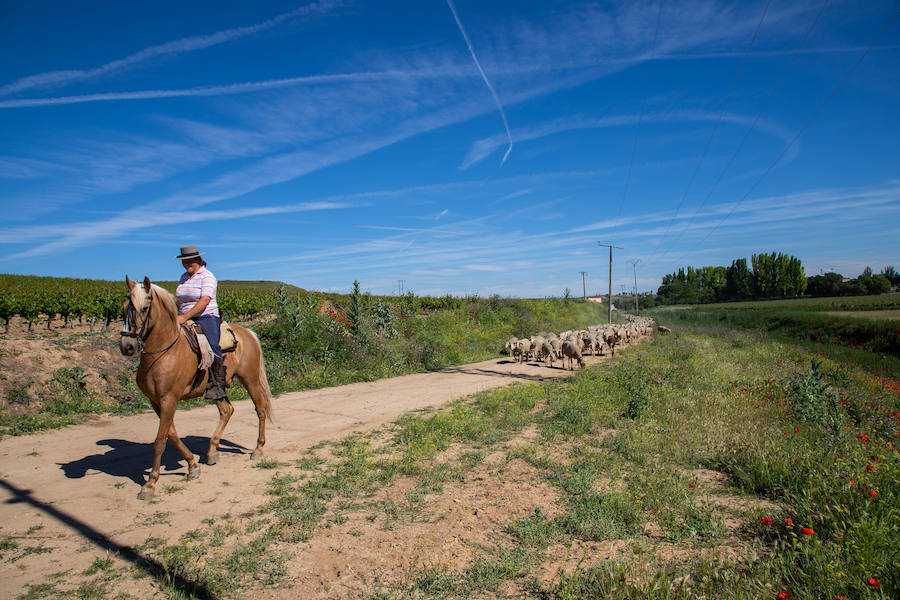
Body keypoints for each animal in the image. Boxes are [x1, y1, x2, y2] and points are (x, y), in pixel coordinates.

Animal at [119, 276, 274, 502]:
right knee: (227, 410)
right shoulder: (156, 401)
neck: (164, 351)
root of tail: (248, 333)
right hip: (216, 389)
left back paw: (258, 449)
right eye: (123, 308)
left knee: (260, 409)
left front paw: (149, 485)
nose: (127, 346)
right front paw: (192, 465)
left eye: (144, 308)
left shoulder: (169, 399)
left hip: (250, 379)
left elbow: (160, 440)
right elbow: (171, 434)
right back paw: (211, 452)